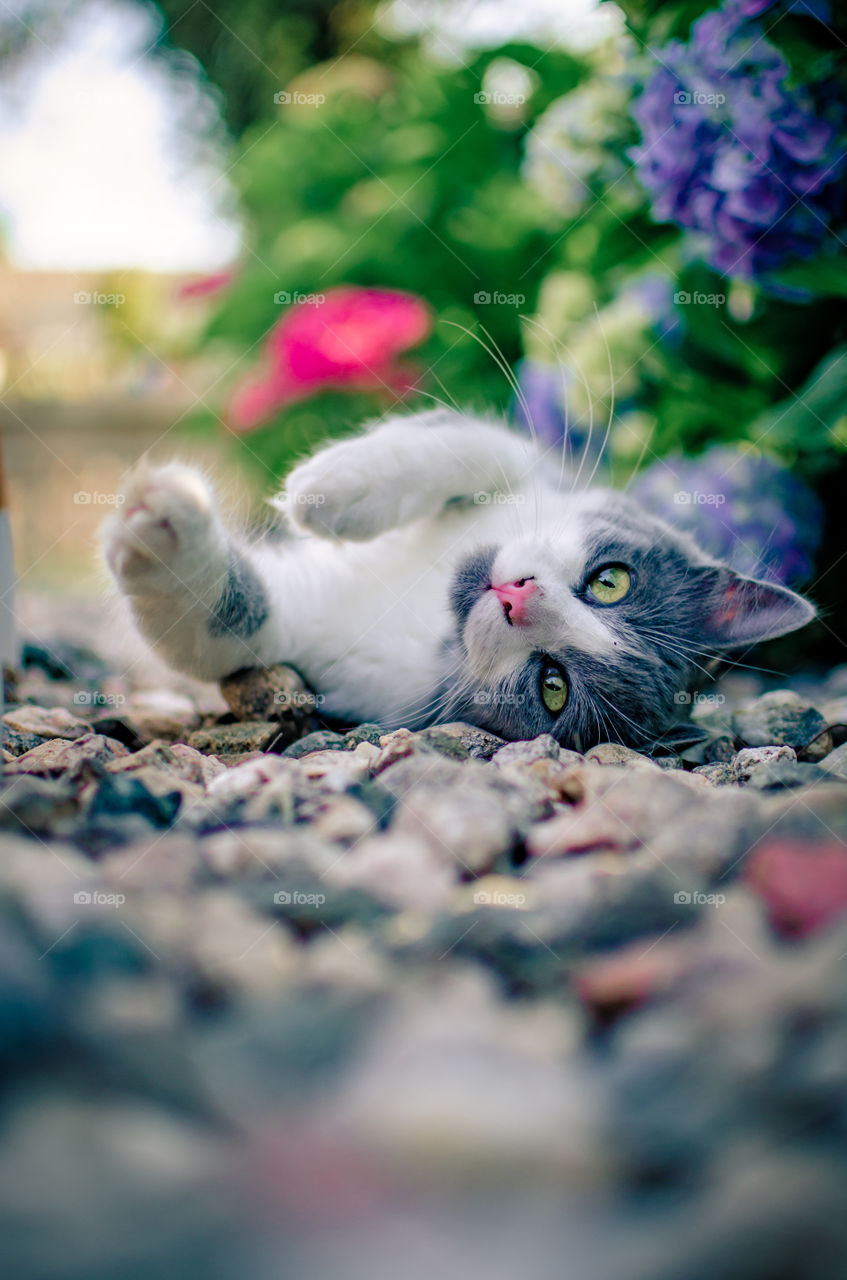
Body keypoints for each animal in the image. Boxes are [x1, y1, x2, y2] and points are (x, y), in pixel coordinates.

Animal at [102, 407, 818, 747]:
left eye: (553, 686)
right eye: (611, 581)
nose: (517, 597)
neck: (431, 600)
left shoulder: (312, 641)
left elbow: (220, 621)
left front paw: (165, 525)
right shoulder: (537, 468)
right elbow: (473, 443)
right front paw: (334, 487)